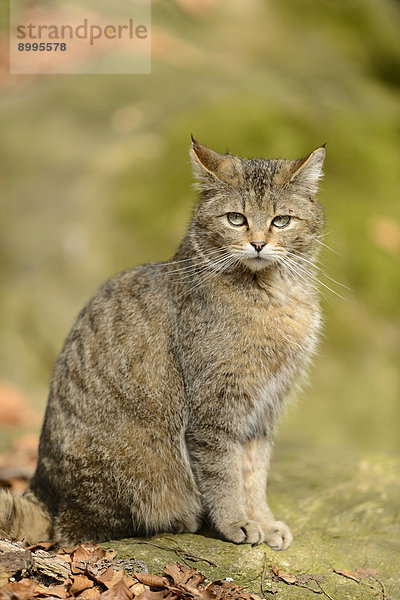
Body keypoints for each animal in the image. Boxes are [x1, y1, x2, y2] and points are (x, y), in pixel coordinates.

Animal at [0, 138, 324, 552]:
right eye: (236, 218)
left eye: (281, 220)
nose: (258, 244)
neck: (273, 295)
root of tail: (42, 490)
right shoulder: (215, 410)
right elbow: (226, 475)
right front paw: (237, 521)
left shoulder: (264, 411)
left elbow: (255, 474)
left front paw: (264, 521)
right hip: (138, 464)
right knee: (78, 529)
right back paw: (182, 519)